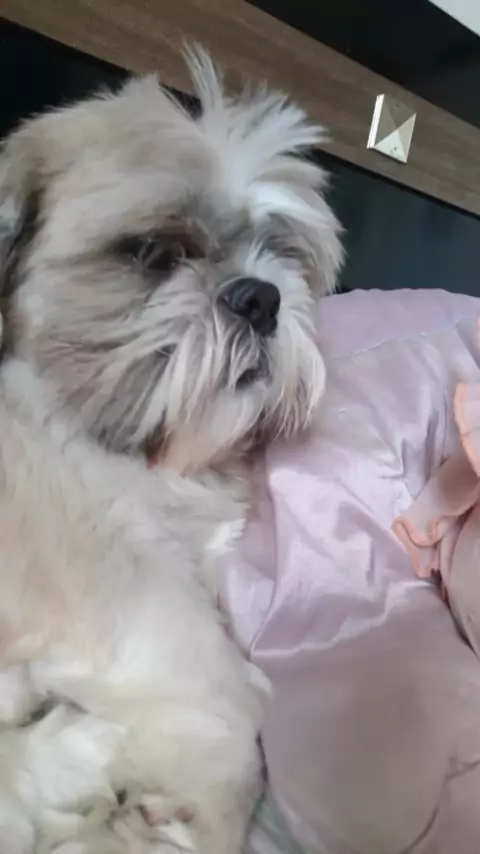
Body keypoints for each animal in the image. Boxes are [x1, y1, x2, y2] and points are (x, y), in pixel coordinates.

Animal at [0, 49, 342, 852]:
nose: (259, 296)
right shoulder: (121, 586)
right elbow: (231, 698)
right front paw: (198, 816)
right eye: (154, 254)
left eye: (281, 252)